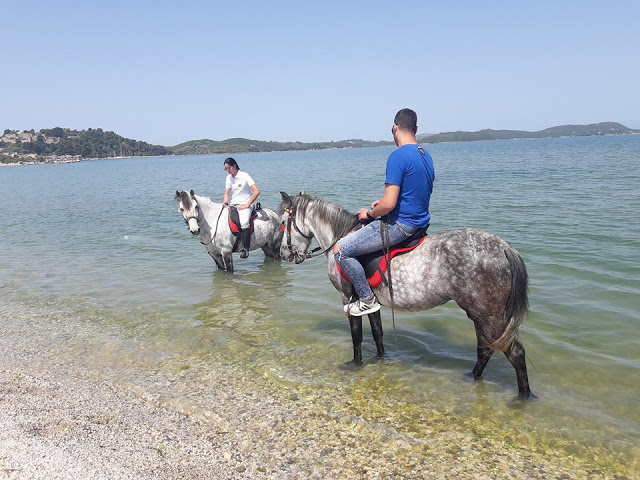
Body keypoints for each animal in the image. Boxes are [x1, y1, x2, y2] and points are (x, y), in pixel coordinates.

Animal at [280, 191, 536, 398]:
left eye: (283, 222)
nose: (284, 254)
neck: (340, 238)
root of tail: (503, 247)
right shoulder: (371, 300)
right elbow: (377, 332)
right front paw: (380, 359)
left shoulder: (348, 298)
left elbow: (356, 335)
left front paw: (355, 363)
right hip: (479, 314)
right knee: (485, 348)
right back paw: (472, 376)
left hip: (489, 316)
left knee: (514, 353)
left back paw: (524, 396)